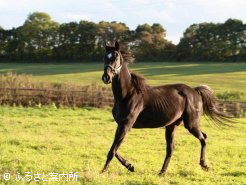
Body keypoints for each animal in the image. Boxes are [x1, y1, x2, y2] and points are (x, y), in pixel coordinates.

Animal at [100, 41, 231, 174]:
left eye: (116, 57)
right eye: (105, 57)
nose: (106, 77)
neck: (127, 94)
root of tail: (194, 91)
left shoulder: (126, 125)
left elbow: (112, 151)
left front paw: (103, 172)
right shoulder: (121, 125)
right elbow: (114, 148)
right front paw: (130, 166)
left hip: (191, 124)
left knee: (203, 138)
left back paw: (204, 165)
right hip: (172, 126)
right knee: (171, 148)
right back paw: (162, 172)